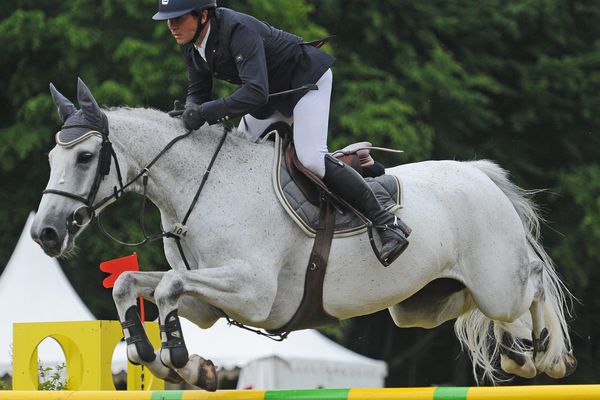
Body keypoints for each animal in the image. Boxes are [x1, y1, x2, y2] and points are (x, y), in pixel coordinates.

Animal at [30, 79, 576, 390]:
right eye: (52, 157)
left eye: (85, 157)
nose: (46, 234)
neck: (202, 189)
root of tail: (478, 173)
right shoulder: (208, 304)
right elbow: (133, 284)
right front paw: (178, 364)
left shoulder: (253, 292)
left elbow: (166, 286)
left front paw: (179, 359)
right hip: (421, 305)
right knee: (481, 308)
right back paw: (519, 354)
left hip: (497, 282)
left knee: (533, 281)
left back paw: (547, 355)